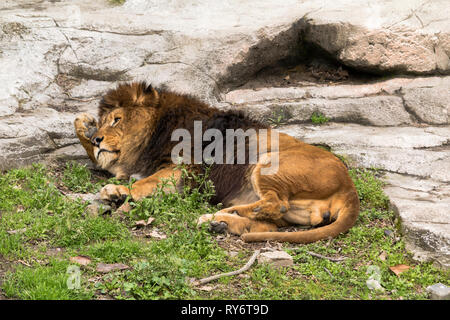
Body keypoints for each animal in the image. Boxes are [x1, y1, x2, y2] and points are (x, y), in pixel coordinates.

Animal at [75, 82, 360, 242]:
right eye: (103, 121)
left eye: (117, 119)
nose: (98, 139)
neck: (154, 131)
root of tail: (349, 188)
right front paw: (82, 125)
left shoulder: (185, 168)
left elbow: (146, 182)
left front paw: (116, 191)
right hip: (286, 210)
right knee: (268, 219)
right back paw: (219, 222)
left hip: (269, 163)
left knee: (275, 203)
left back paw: (216, 215)